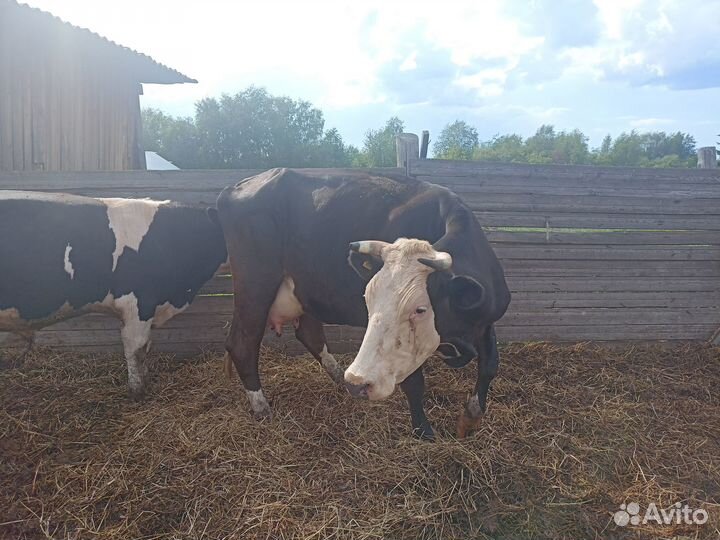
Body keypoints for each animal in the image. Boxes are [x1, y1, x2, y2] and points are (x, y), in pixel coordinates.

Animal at [214, 168, 510, 439]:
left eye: (420, 309)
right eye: (367, 300)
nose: (358, 382)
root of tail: (238, 185)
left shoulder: (485, 322)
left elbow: (490, 365)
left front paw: (471, 417)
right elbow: (415, 384)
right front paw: (424, 432)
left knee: (308, 334)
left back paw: (339, 379)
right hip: (255, 288)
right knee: (242, 345)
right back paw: (262, 407)